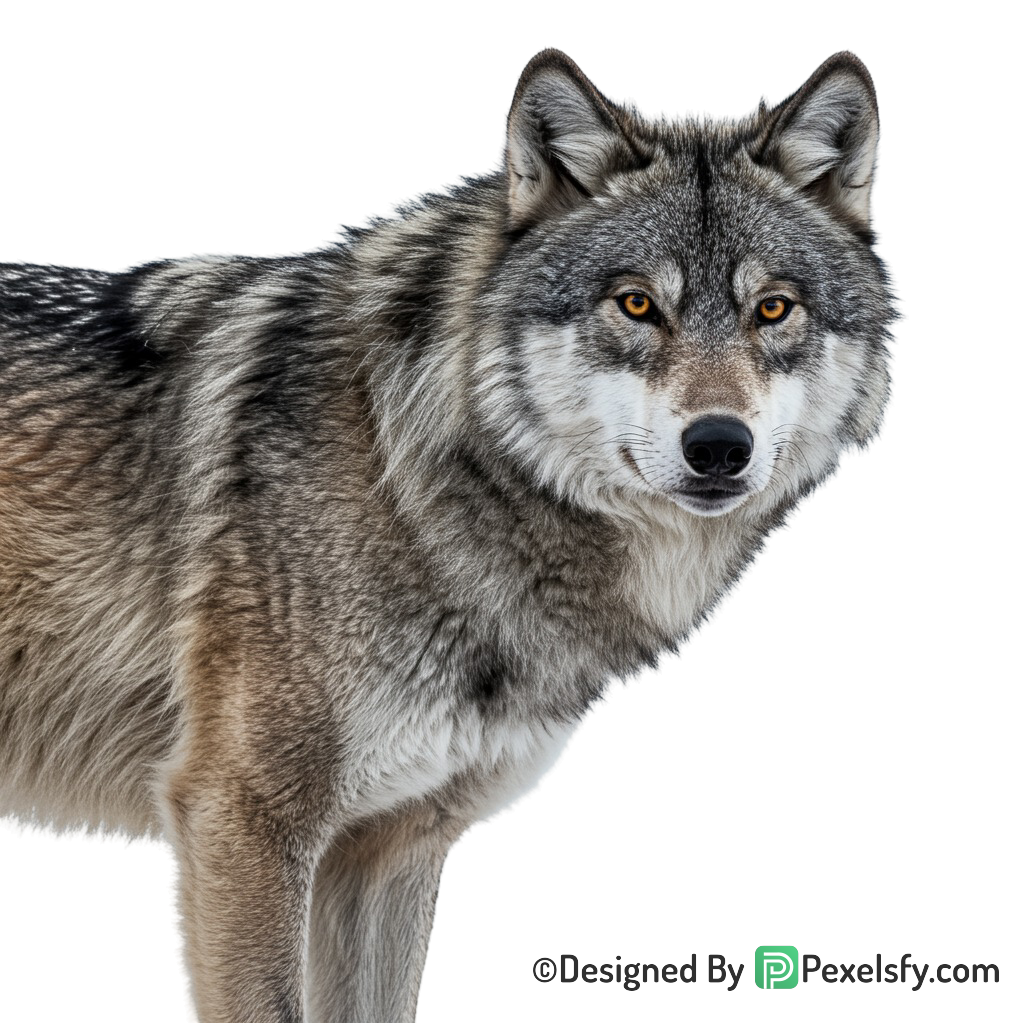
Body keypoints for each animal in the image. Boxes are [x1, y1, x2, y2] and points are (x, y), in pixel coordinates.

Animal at [0, 47, 903, 1021]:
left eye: (773, 310)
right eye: (635, 305)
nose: (719, 446)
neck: (403, 468)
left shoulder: (392, 847)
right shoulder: (240, 822)